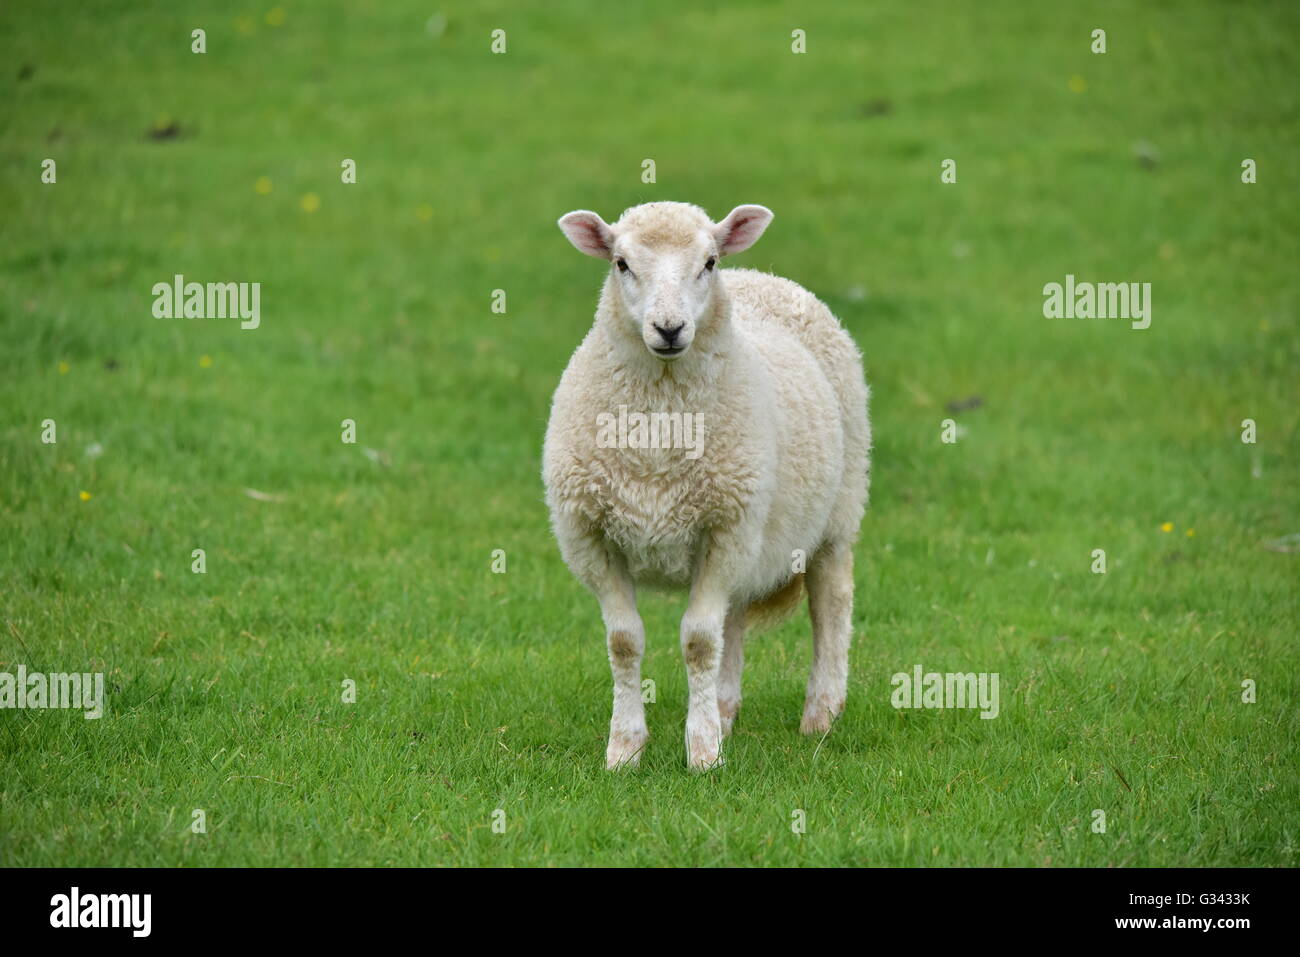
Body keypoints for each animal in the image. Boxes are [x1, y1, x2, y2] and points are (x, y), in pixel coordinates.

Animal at [543, 201, 868, 769]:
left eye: (708, 262)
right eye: (621, 263)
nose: (669, 328)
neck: (660, 428)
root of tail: (760, 275)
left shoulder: (723, 529)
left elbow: (697, 642)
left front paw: (702, 754)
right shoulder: (593, 537)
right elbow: (625, 642)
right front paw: (625, 749)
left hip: (834, 512)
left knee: (830, 603)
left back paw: (821, 714)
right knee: (732, 618)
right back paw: (725, 709)